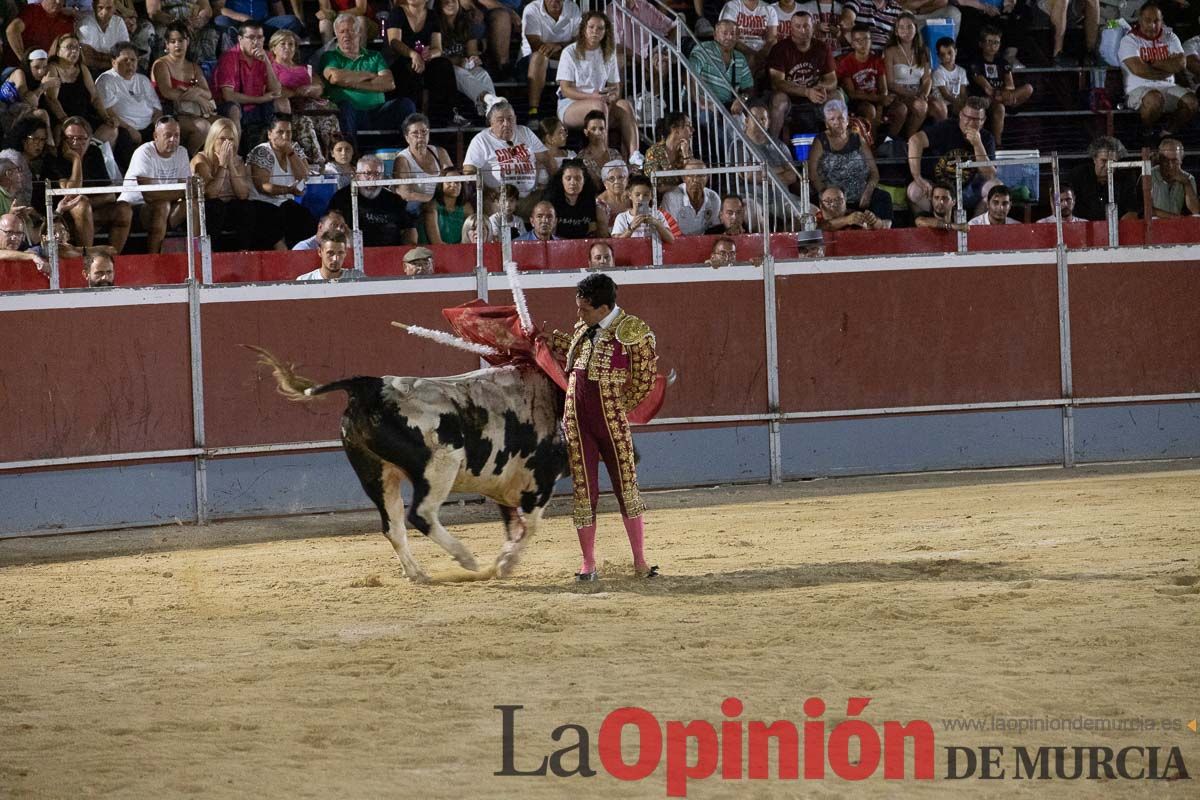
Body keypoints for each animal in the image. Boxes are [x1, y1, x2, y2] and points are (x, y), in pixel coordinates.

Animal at [247, 345, 566, 582]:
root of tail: (371, 386)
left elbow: (515, 527)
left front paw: (503, 562)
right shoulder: (540, 480)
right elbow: (529, 527)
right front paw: (505, 564)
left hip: (375, 473)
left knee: (393, 525)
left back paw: (417, 573)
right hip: (440, 466)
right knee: (420, 514)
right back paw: (466, 558)